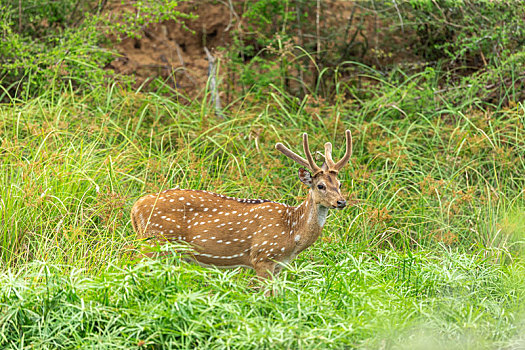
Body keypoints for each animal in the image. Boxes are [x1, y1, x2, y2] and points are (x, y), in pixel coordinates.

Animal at [130, 131, 352, 282]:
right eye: (320, 185)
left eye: (340, 184)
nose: (341, 202)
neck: (292, 232)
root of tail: (135, 208)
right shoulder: (263, 256)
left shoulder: (279, 265)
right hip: (156, 241)